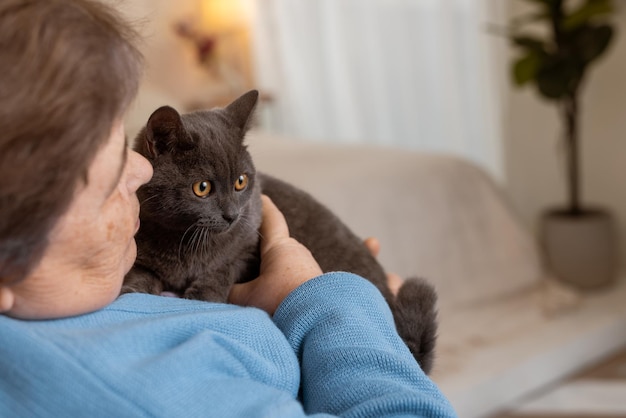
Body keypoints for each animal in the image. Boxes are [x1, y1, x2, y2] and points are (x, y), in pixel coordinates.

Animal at [120, 90, 434, 372]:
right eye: (202, 187)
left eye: (241, 182)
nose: (232, 215)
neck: (183, 241)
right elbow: (141, 272)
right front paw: (131, 290)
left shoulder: (247, 247)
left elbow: (224, 267)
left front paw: (201, 298)